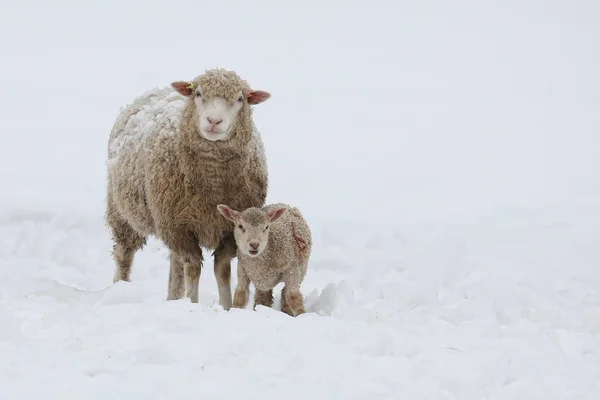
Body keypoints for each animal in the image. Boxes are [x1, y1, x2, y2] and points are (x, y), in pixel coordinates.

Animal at [107, 68, 272, 310]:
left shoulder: (231, 230)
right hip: (123, 212)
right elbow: (193, 269)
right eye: (199, 94)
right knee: (124, 253)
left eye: (240, 99)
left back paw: (173, 297)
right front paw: (192, 304)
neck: (212, 182)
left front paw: (226, 307)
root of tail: (159, 90)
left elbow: (222, 270)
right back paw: (120, 287)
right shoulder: (178, 228)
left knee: (175, 264)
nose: (214, 121)